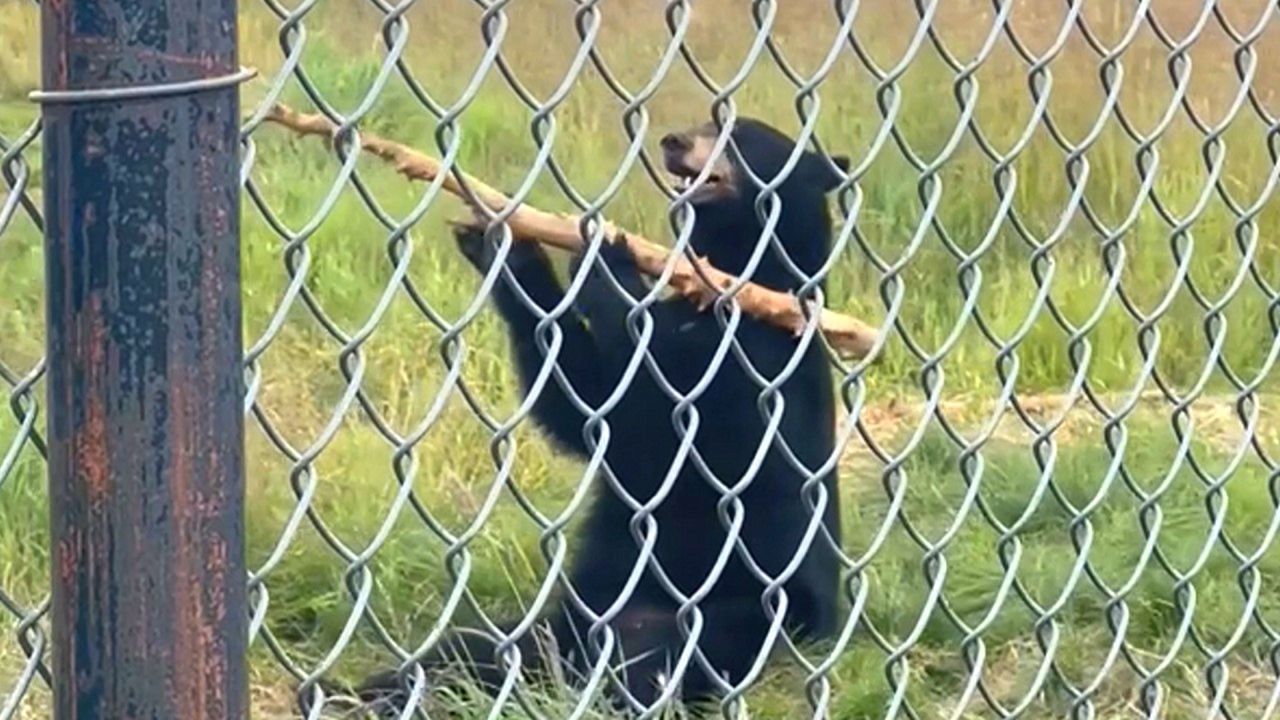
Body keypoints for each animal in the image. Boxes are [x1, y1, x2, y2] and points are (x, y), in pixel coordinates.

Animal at [341, 118, 850, 717]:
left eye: (737, 135)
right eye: (705, 120)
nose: (673, 141)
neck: (729, 283)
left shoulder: (757, 367)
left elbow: (663, 409)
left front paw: (609, 258)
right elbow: (588, 404)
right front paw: (506, 245)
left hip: (744, 614)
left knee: (658, 663)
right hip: (566, 621)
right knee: (474, 652)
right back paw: (367, 690)